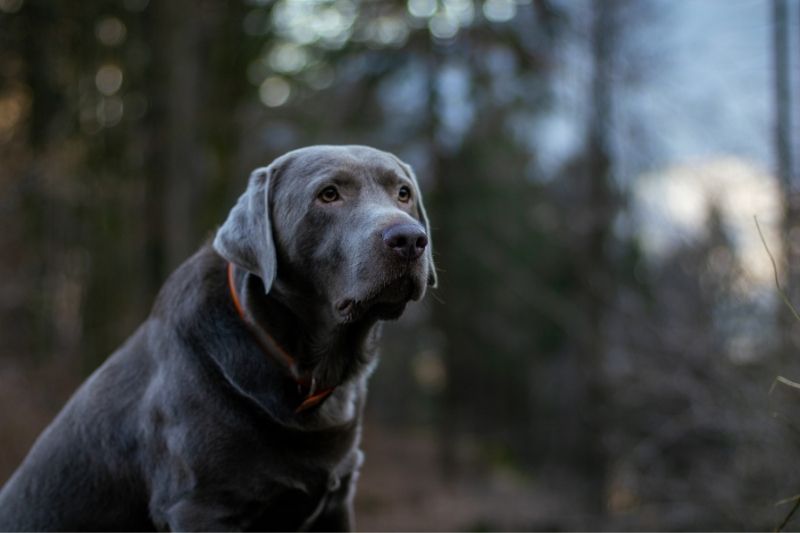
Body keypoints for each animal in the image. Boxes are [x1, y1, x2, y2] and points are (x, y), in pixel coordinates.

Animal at [0, 143, 438, 528]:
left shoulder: (339, 498)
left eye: (403, 193)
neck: (307, 371)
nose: (410, 239)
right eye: (328, 194)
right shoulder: (200, 506)